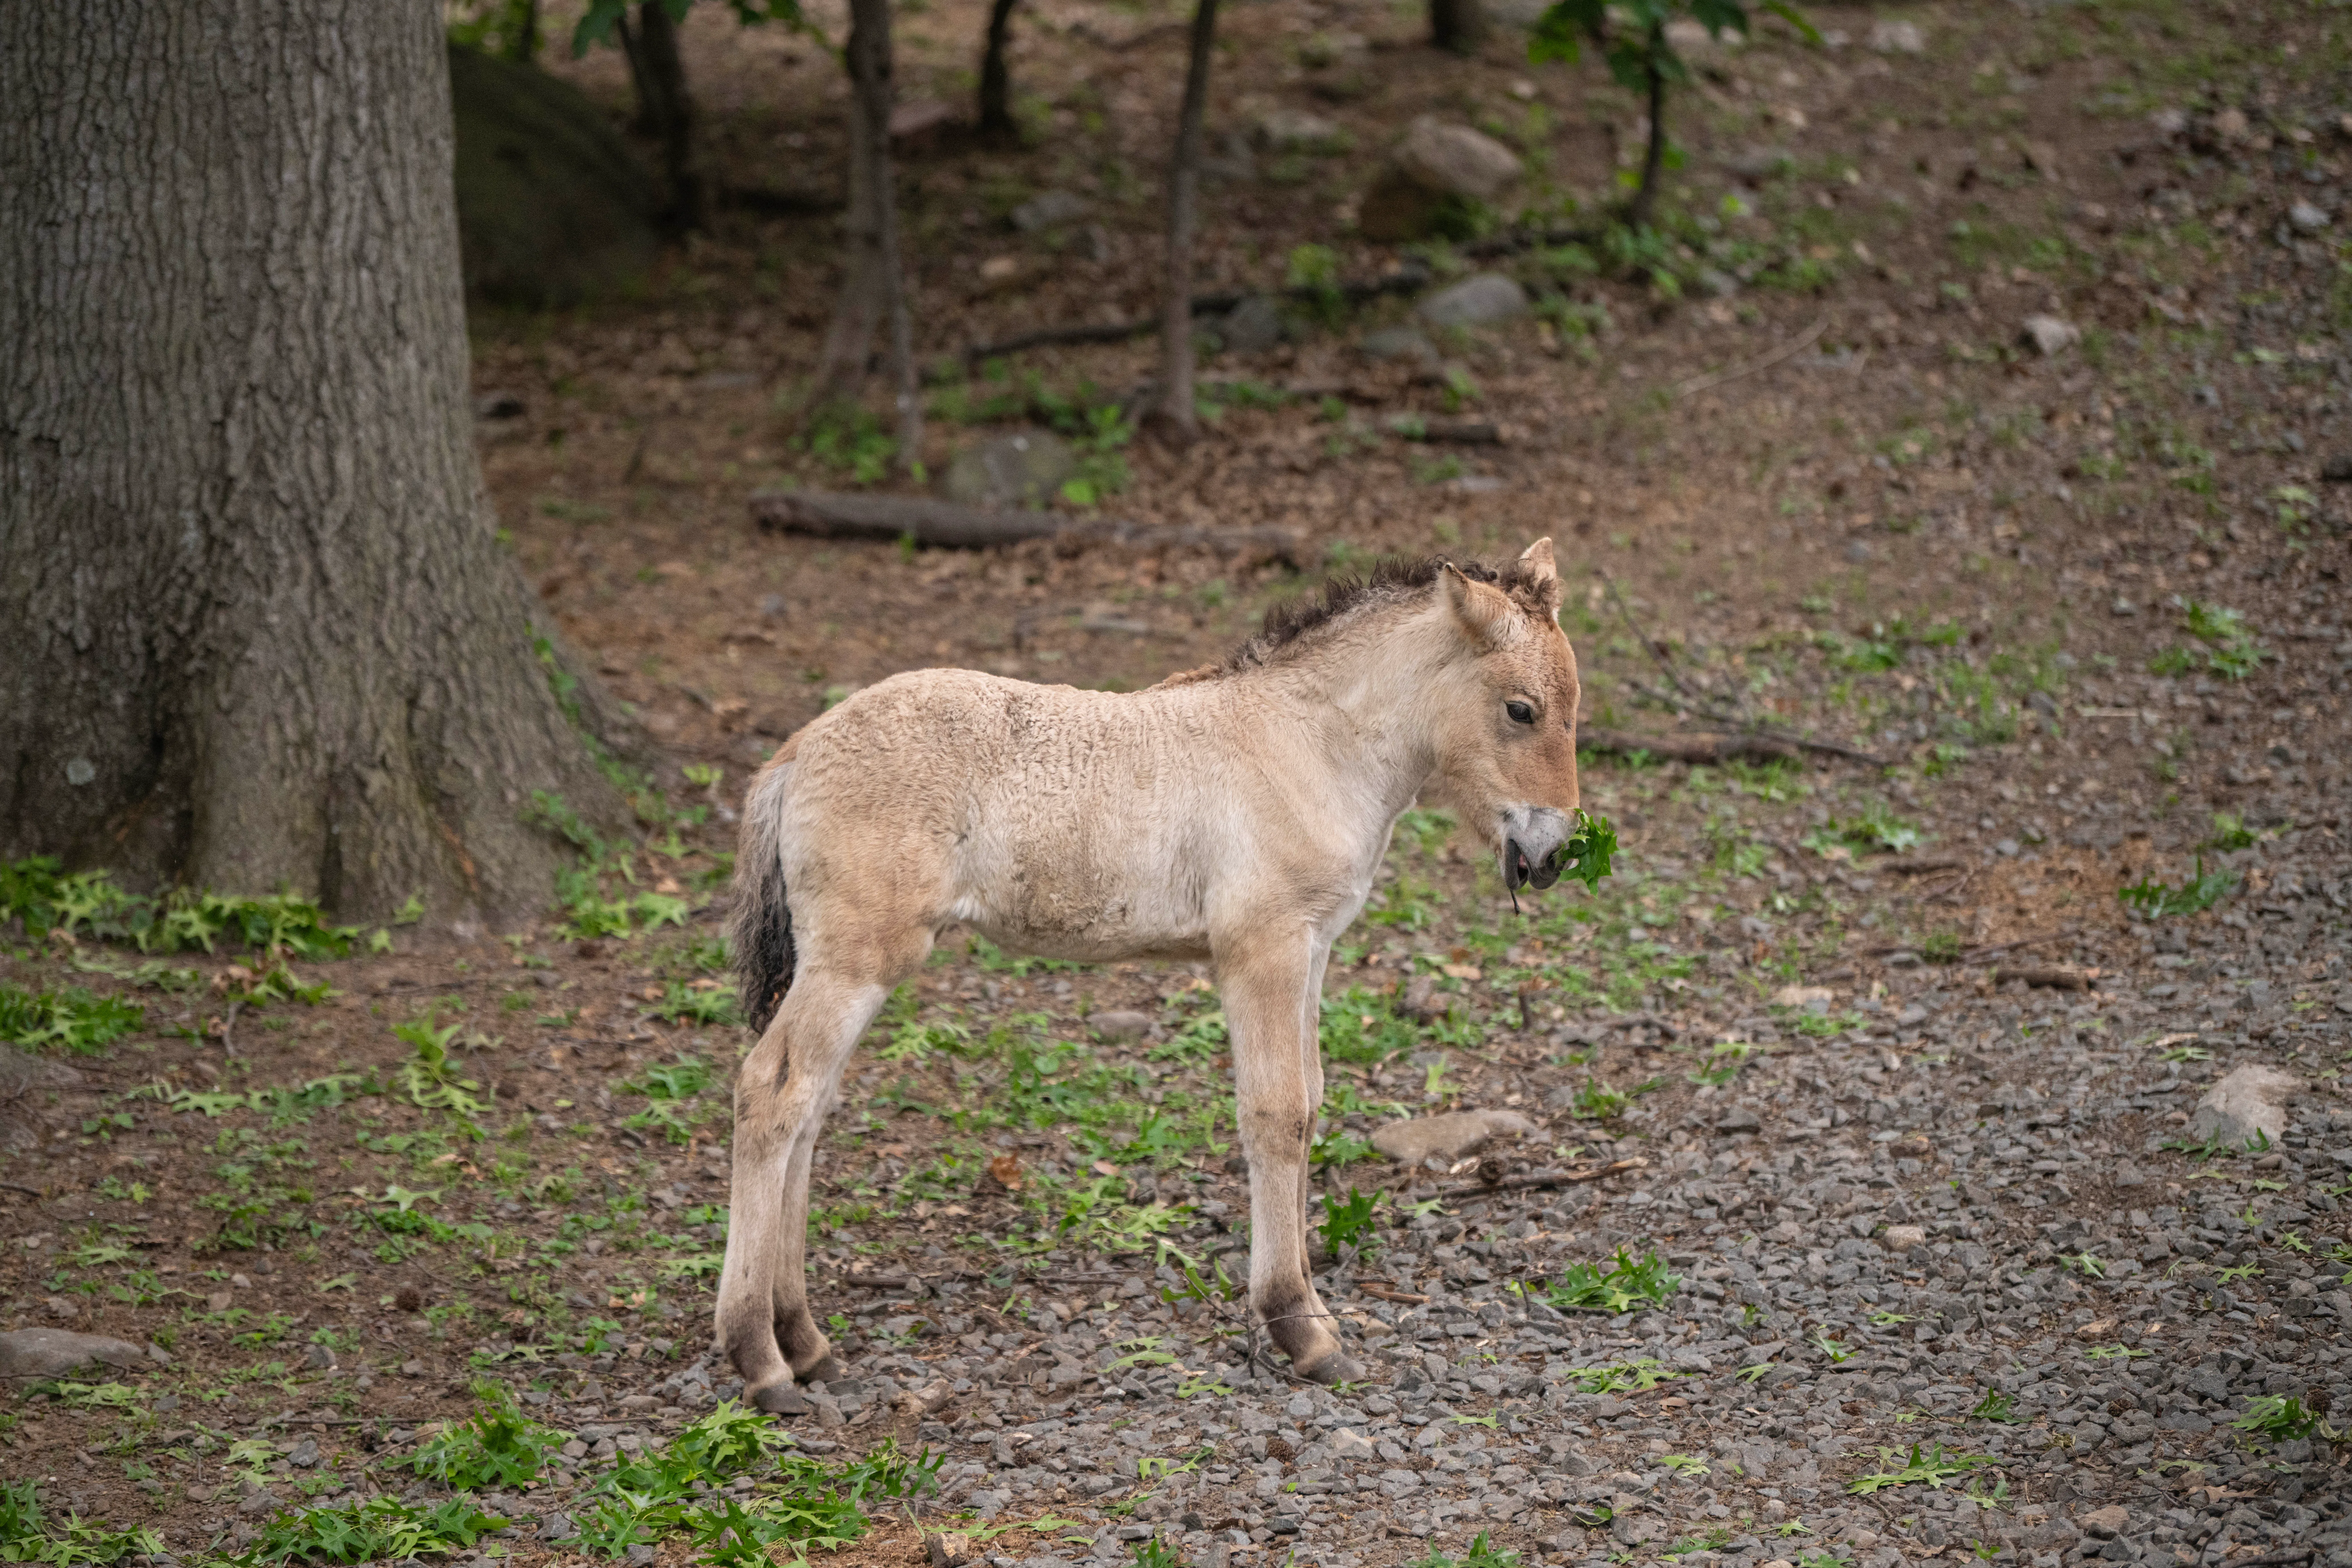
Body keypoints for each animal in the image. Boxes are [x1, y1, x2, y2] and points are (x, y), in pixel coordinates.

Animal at [717, 539, 1585, 1413]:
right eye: (1521, 710)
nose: (1550, 856)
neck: (1312, 745)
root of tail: (800, 747)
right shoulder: (1261, 950)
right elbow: (1276, 1114)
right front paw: (1300, 1330)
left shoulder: (1311, 949)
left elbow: (1310, 1101)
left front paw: (1308, 1312)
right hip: (857, 958)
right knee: (773, 1091)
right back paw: (761, 1358)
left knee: (810, 1107)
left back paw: (806, 1342)